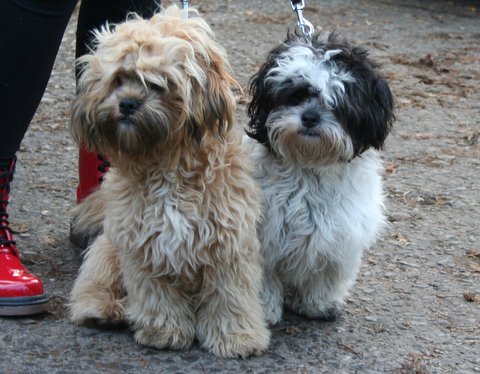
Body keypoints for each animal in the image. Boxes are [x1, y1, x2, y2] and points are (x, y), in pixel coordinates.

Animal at [67, 5, 270, 356]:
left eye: (158, 84)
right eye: (119, 79)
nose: (127, 104)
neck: (166, 164)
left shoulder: (229, 246)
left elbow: (231, 297)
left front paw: (237, 337)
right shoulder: (142, 246)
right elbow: (157, 296)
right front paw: (164, 332)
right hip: (109, 249)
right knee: (93, 284)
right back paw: (105, 309)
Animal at [246, 32, 396, 324]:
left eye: (337, 103)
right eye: (296, 95)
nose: (310, 117)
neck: (310, 169)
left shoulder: (339, 236)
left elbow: (325, 276)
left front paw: (318, 305)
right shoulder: (265, 237)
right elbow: (263, 279)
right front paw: (265, 312)